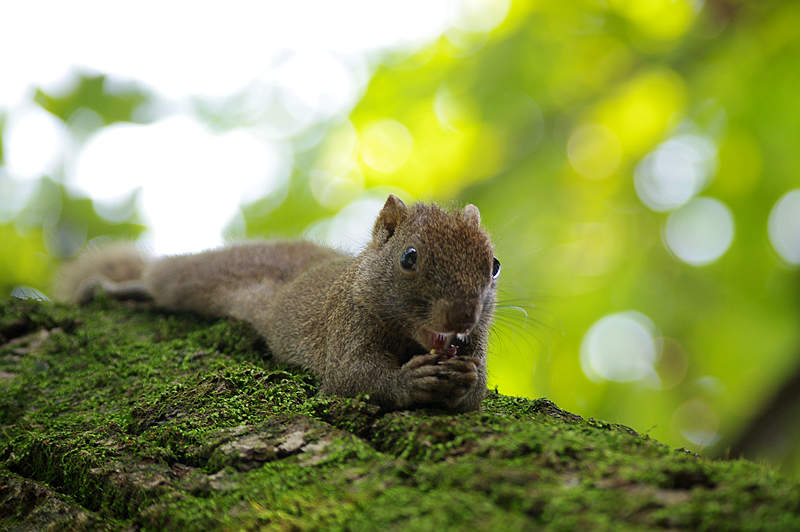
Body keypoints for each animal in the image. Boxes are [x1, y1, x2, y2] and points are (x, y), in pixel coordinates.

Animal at [57, 195, 500, 412]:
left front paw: (467, 377)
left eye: (494, 265)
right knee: (158, 278)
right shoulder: (346, 323)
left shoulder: (476, 340)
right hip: (194, 277)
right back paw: (118, 288)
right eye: (409, 257)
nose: (463, 316)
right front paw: (411, 380)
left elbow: (474, 395)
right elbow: (351, 378)